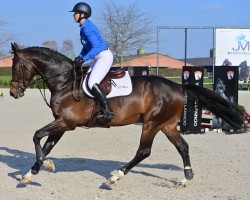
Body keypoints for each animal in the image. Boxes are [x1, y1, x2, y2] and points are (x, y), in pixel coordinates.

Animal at [9, 42, 244, 188]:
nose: (12, 92)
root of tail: (178, 86)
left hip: (151, 123)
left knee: (144, 151)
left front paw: (46, 165)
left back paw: (115, 177)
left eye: (15, 66)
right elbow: (47, 144)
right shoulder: (62, 123)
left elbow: (37, 136)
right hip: (167, 125)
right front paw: (30, 174)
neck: (65, 82)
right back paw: (185, 178)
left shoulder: (66, 122)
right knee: (183, 147)